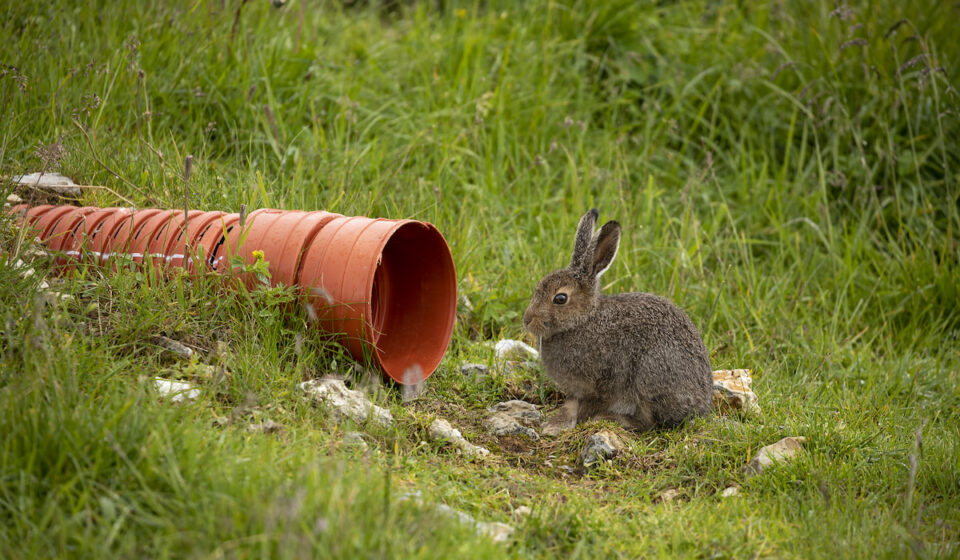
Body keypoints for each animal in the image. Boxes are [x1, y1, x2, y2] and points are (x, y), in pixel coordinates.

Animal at [522, 208, 713, 435]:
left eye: (560, 298)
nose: (527, 320)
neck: (583, 321)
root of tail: (701, 405)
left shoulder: (603, 382)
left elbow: (590, 405)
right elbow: (572, 404)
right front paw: (556, 422)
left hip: (650, 378)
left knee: (650, 423)